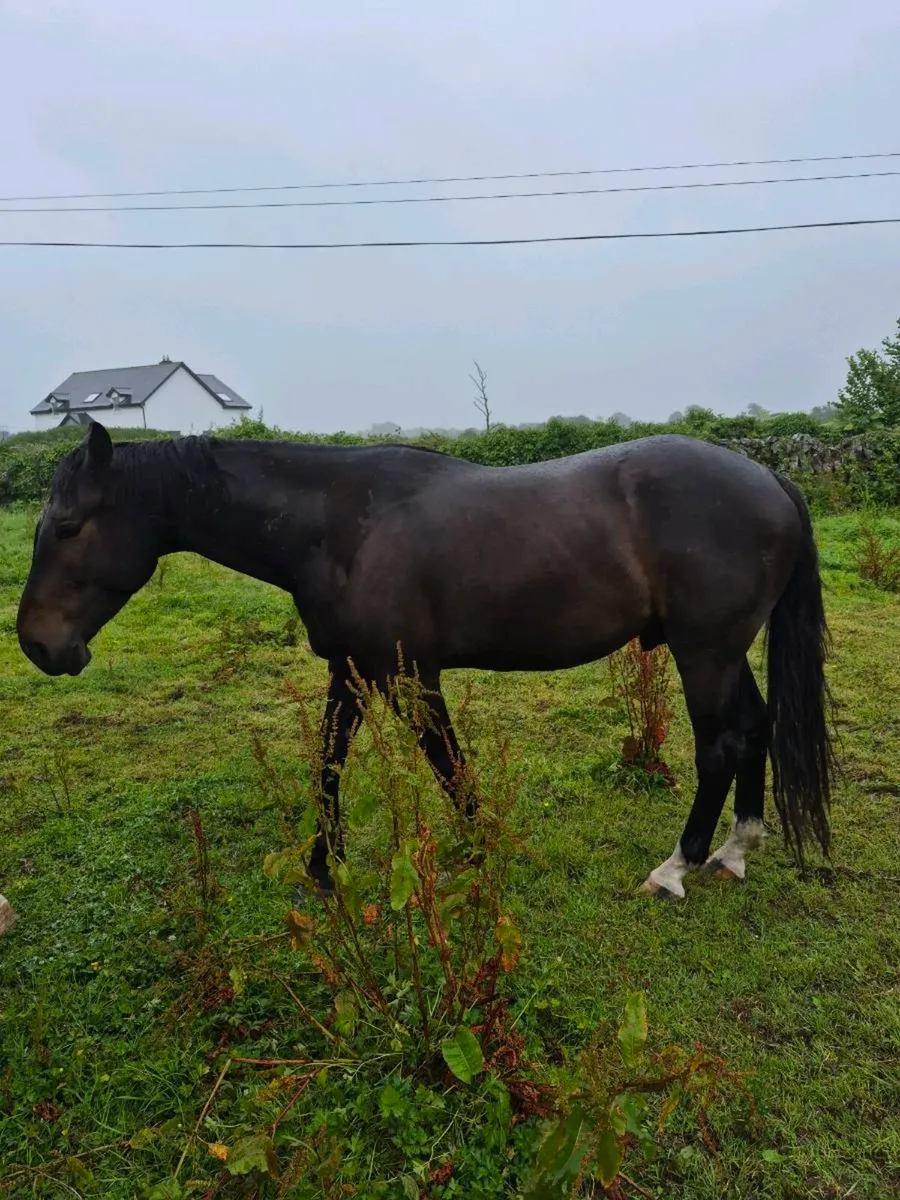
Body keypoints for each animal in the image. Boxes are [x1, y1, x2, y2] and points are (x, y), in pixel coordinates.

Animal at [17, 421, 834, 899]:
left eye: (68, 526)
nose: (37, 644)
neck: (339, 524)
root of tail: (770, 478)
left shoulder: (409, 675)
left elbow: (447, 764)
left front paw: (482, 850)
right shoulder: (348, 671)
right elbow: (330, 761)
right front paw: (324, 867)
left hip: (705, 652)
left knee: (720, 745)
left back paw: (677, 866)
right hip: (723, 650)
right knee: (753, 730)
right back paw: (736, 849)